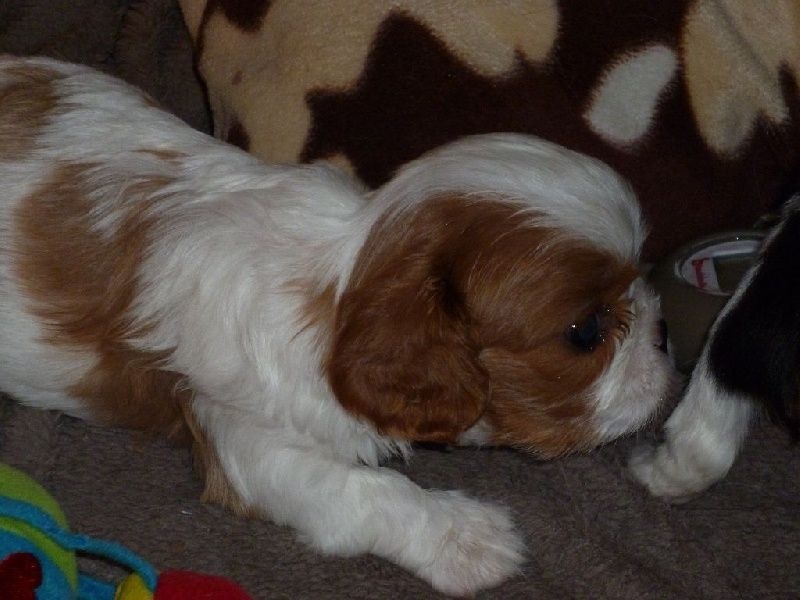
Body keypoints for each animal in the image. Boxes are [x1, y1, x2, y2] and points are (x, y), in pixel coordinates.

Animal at [0, 56, 674, 595]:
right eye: (586, 333)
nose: (666, 334)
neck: (341, 281)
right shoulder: (243, 436)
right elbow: (372, 490)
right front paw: (466, 537)